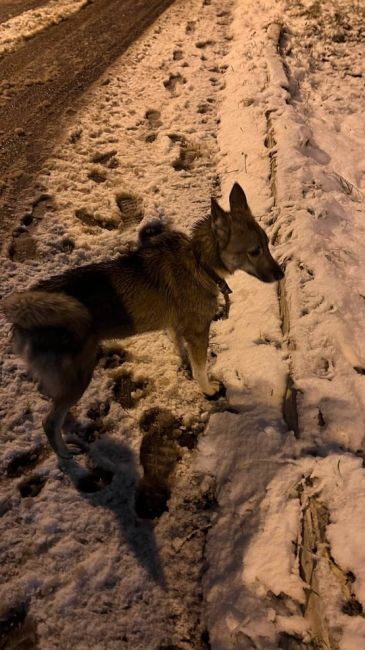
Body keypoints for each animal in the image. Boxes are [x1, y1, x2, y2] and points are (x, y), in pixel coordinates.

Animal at [1, 182, 282, 456]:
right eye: (254, 251)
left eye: (267, 243)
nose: (281, 274)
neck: (200, 261)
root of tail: (23, 316)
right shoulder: (199, 331)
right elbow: (201, 367)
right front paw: (207, 389)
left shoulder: (176, 326)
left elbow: (181, 350)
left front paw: (184, 365)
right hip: (79, 377)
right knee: (49, 422)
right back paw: (65, 455)